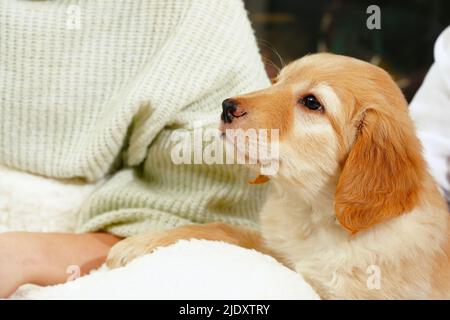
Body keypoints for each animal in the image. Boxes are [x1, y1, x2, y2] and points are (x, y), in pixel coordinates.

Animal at [107, 53, 448, 300]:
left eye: (312, 102)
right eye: (277, 81)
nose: (226, 107)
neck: (313, 216)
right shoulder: (276, 250)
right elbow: (222, 229)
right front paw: (142, 243)